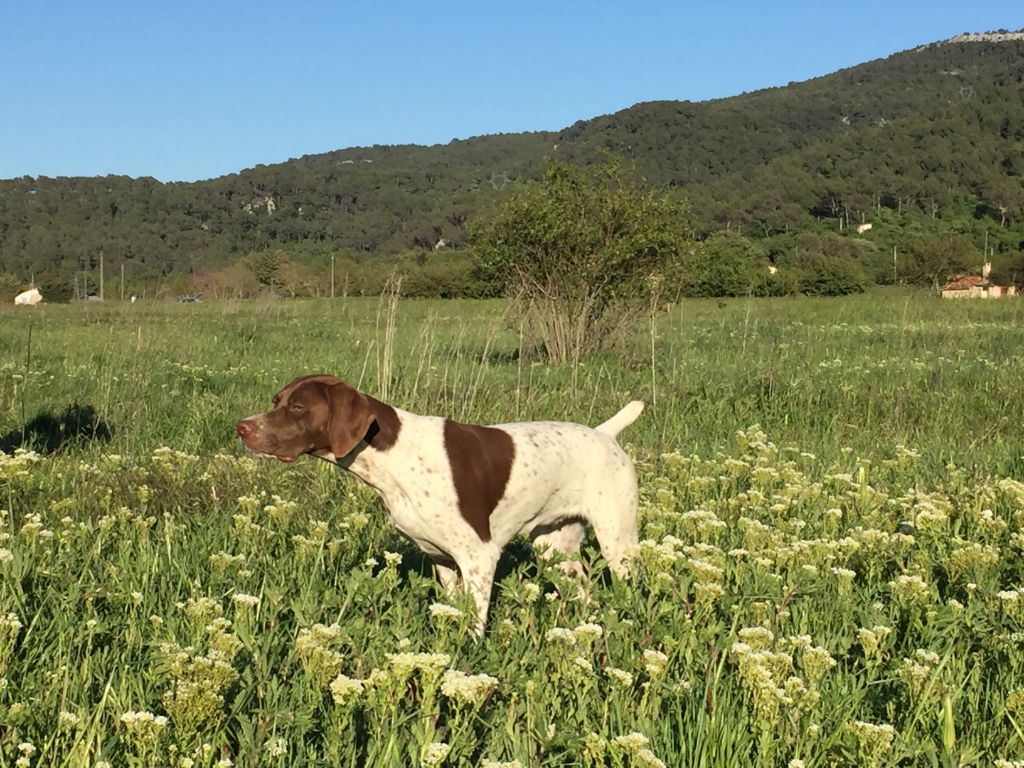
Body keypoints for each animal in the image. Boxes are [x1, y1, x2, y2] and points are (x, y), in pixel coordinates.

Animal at [235, 376, 643, 634]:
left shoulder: (479, 557)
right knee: (583, 591)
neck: (393, 455)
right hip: (554, 546)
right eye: (277, 401)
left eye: (299, 407)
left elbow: (474, 623)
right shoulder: (443, 560)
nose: (242, 427)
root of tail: (605, 433)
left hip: (618, 542)